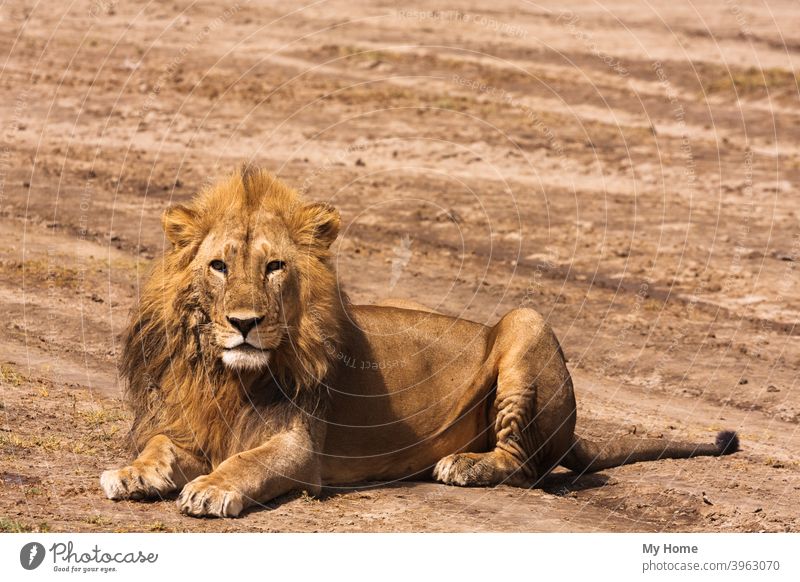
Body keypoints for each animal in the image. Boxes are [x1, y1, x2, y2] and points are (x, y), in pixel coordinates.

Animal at [103, 168, 740, 520]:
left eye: (274, 267)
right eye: (219, 266)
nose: (243, 323)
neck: (229, 376)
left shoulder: (298, 447)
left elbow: (247, 461)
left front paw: (211, 488)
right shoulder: (189, 425)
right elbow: (159, 447)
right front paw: (132, 473)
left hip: (526, 322)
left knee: (524, 465)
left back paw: (463, 465)